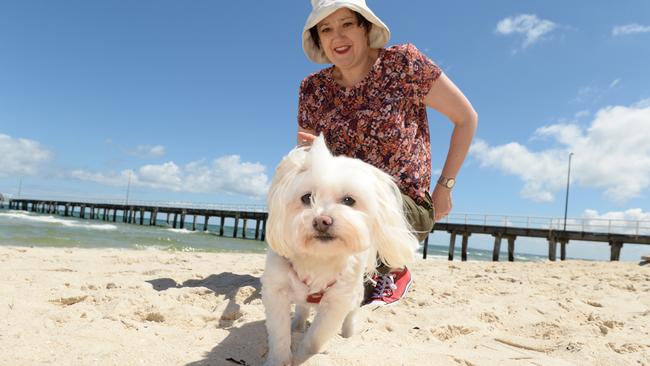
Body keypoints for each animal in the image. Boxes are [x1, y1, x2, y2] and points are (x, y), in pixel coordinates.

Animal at [260, 136, 418, 364]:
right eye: (306, 198)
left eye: (348, 200)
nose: (322, 221)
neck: (318, 258)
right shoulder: (275, 291)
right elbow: (279, 333)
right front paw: (279, 359)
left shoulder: (337, 302)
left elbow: (316, 337)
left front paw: (303, 356)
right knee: (302, 308)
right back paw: (298, 324)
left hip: (355, 292)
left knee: (351, 313)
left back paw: (348, 333)